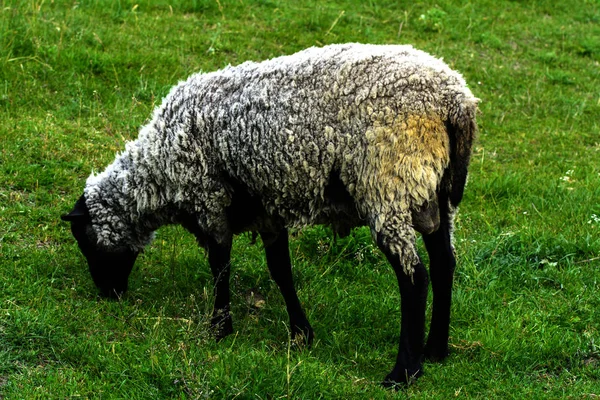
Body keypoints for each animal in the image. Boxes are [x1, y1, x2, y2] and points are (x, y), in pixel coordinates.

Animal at [62, 43, 478, 384]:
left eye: (85, 241)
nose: (108, 293)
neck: (158, 174)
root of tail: (455, 100)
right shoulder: (267, 212)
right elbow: (281, 272)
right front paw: (301, 333)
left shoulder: (210, 201)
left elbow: (220, 269)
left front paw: (219, 328)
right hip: (434, 192)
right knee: (444, 263)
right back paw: (435, 351)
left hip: (387, 183)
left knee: (415, 277)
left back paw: (404, 371)